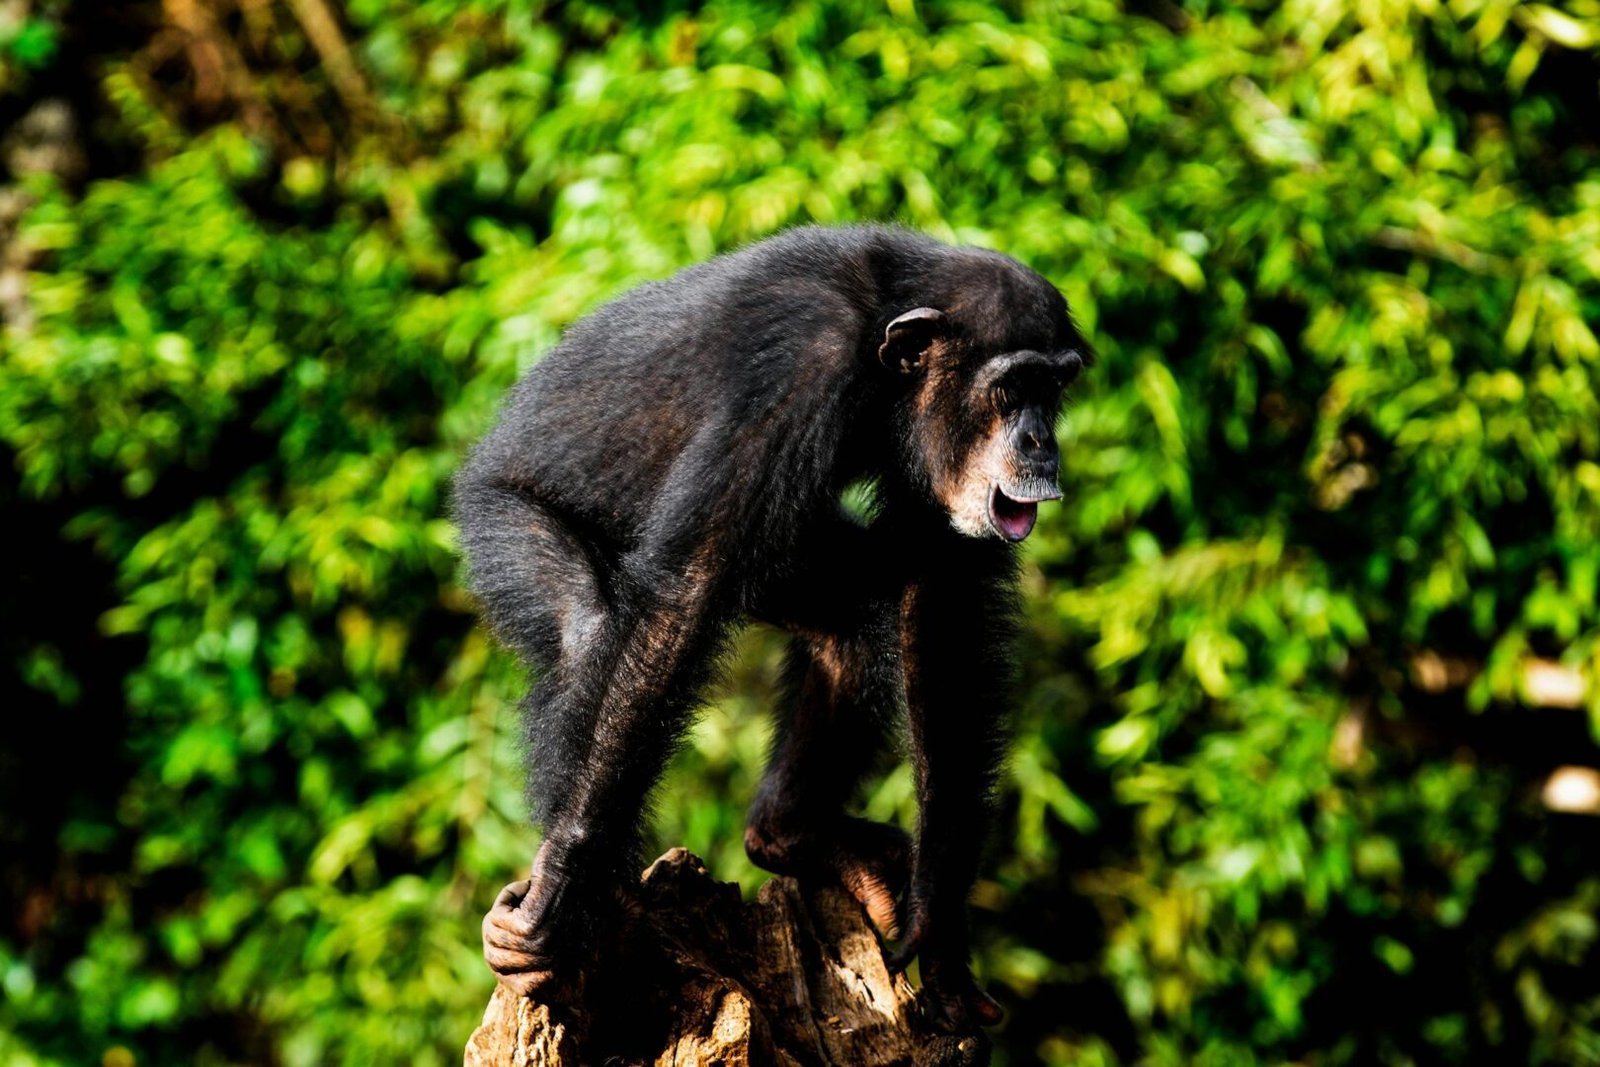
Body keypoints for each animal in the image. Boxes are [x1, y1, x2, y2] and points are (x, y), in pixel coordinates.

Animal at [453, 224, 1087, 1033]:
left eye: (1055, 388)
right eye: (1012, 386)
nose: (1042, 441)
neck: (879, 350)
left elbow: (946, 613)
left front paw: (942, 932)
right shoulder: (794, 375)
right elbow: (683, 599)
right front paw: (558, 894)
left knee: (852, 625)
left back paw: (791, 835)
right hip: (499, 516)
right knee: (592, 631)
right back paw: (591, 913)